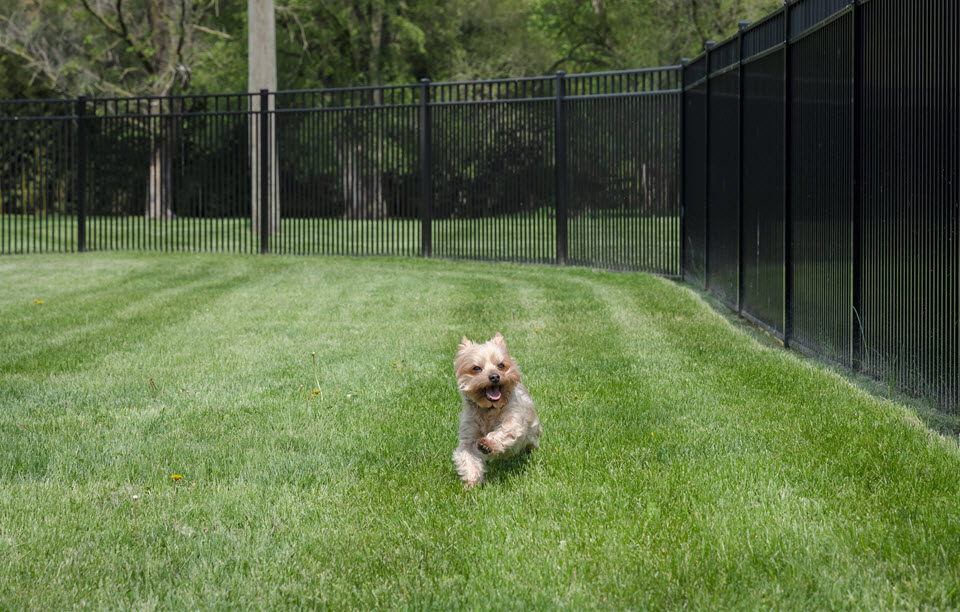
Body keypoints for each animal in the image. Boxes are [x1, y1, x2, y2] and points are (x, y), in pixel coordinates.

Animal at [452, 332, 540, 490]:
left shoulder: (514, 419)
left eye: (501, 365)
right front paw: (472, 483)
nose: (494, 376)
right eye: (476, 368)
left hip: (533, 435)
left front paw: (487, 444)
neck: (488, 409)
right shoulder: (468, 436)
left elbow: (506, 430)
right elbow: (468, 458)